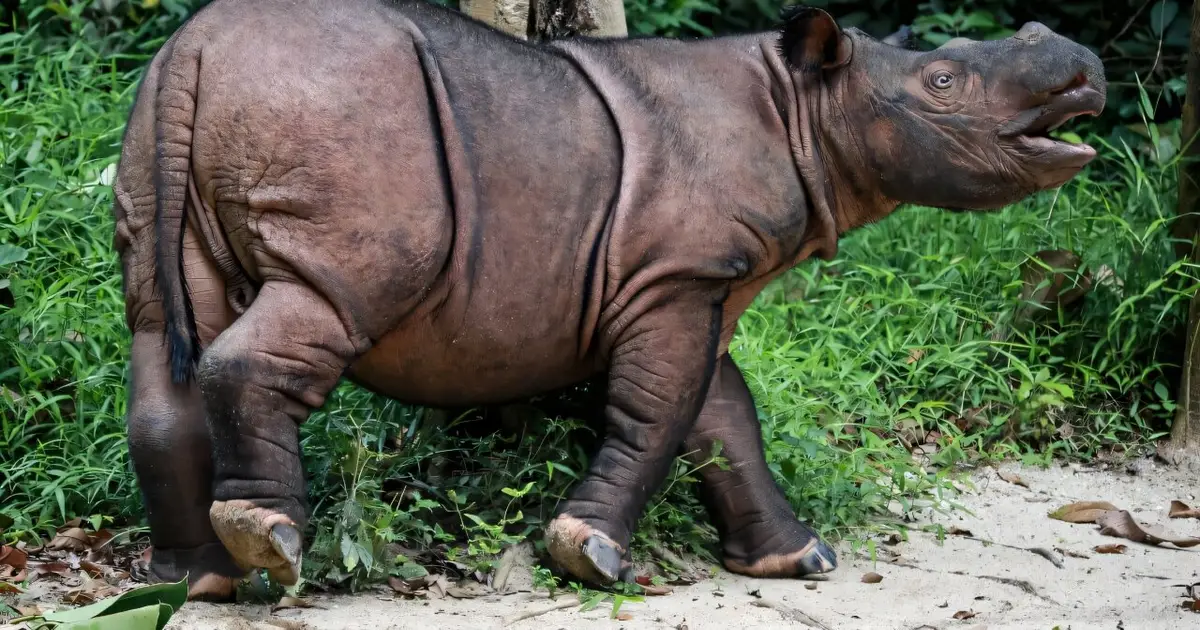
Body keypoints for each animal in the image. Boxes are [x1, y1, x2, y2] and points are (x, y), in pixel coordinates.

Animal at [112, 0, 1106, 600]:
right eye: (943, 84)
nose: (1080, 64)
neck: (805, 108)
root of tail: (195, 45)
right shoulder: (680, 275)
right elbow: (662, 413)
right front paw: (588, 554)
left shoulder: (691, 279)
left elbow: (723, 415)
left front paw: (798, 559)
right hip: (346, 130)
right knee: (320, 306)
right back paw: (270, 545)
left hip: (160, 125)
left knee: (163, 328)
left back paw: (191, 583)